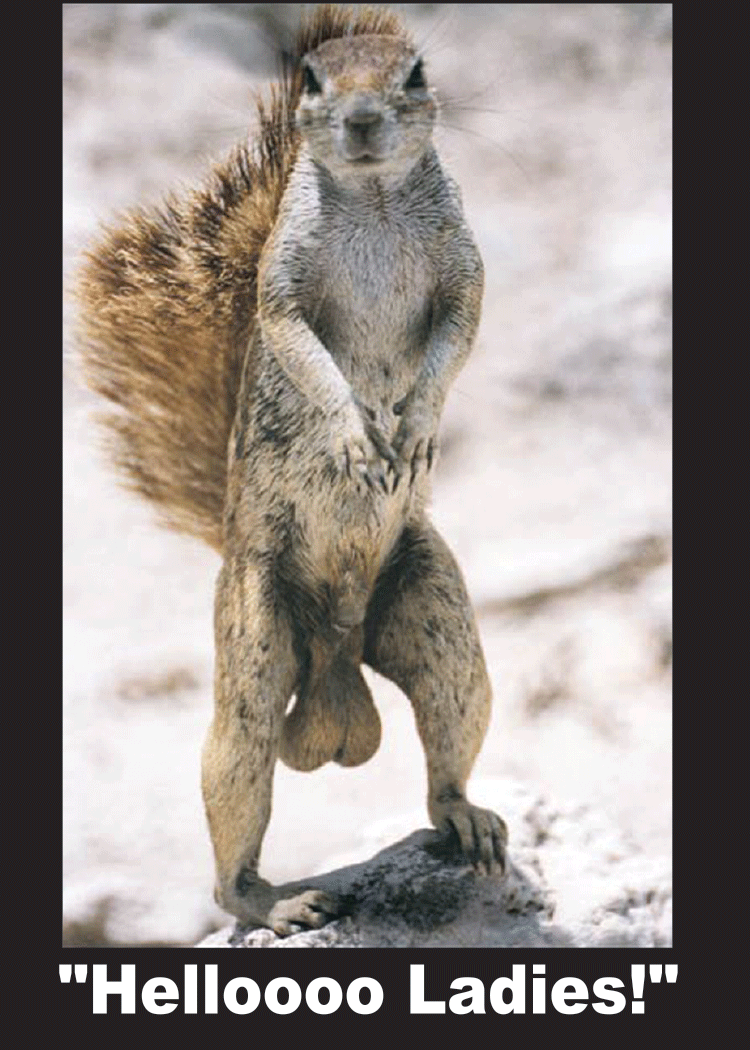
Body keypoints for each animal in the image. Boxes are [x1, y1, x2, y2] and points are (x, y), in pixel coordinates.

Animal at [76, 3, 507, 936]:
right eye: (312, 79)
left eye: (416, 73)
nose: (362, 119)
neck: (375, 200)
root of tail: (337, 655)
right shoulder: (282, 287)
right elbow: (301, 347)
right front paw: (355, 436)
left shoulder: (465, 271)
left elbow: (459, 333)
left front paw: (415, 426)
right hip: (253, 641)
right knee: (234, 795)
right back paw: (272, 900)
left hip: (440, 623)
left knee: (446, 749)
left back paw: (465, 817)